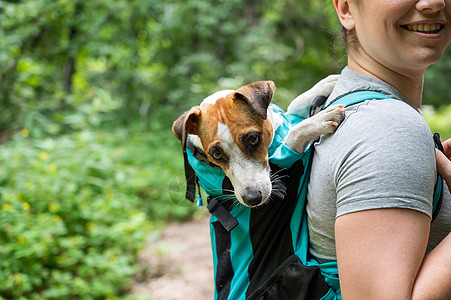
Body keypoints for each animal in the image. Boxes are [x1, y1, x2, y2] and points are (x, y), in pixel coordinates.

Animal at [172, 75, 342, 207]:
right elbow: (295, 132)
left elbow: (295, 103)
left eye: (253, 139)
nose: (252, 198)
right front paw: (320, 119)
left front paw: (326, 83)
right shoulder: (285, 154)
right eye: (216, 154)